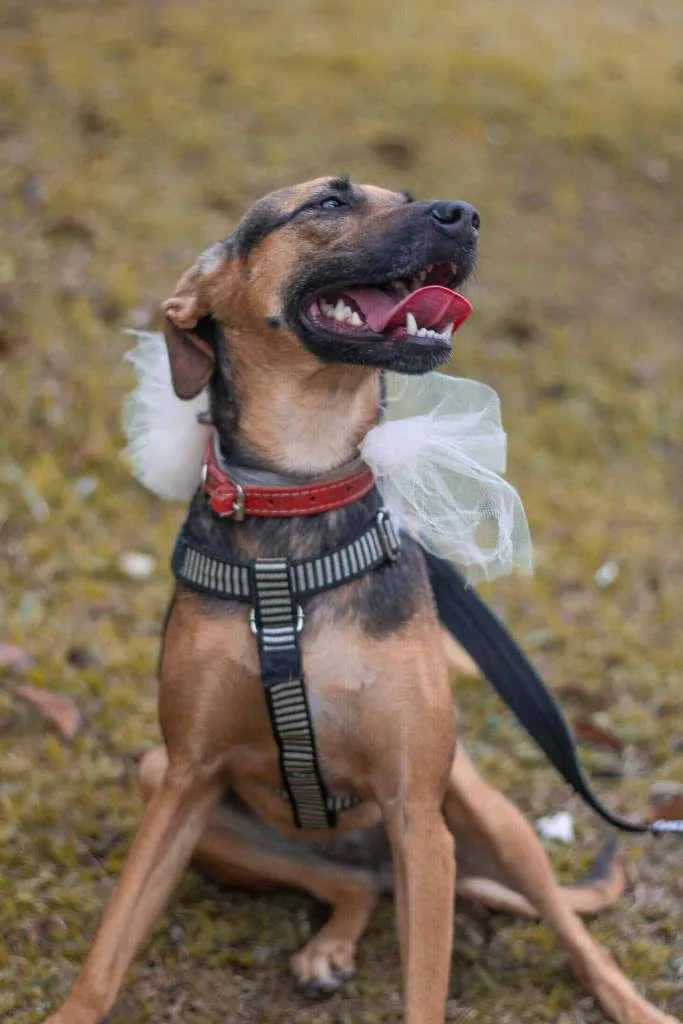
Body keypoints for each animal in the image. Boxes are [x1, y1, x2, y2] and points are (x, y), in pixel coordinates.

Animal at [44, 178, 679, 1024]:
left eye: (405, 196)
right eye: (328, 203)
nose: (464, 216)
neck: (298, 498)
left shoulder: (417, 816)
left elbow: (426, 991)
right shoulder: (183, 778)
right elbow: (108, 949)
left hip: (485, 817)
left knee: (570, 932)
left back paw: (633, 1003)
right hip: (173, 784)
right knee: (350, 885)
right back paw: (328, 948)